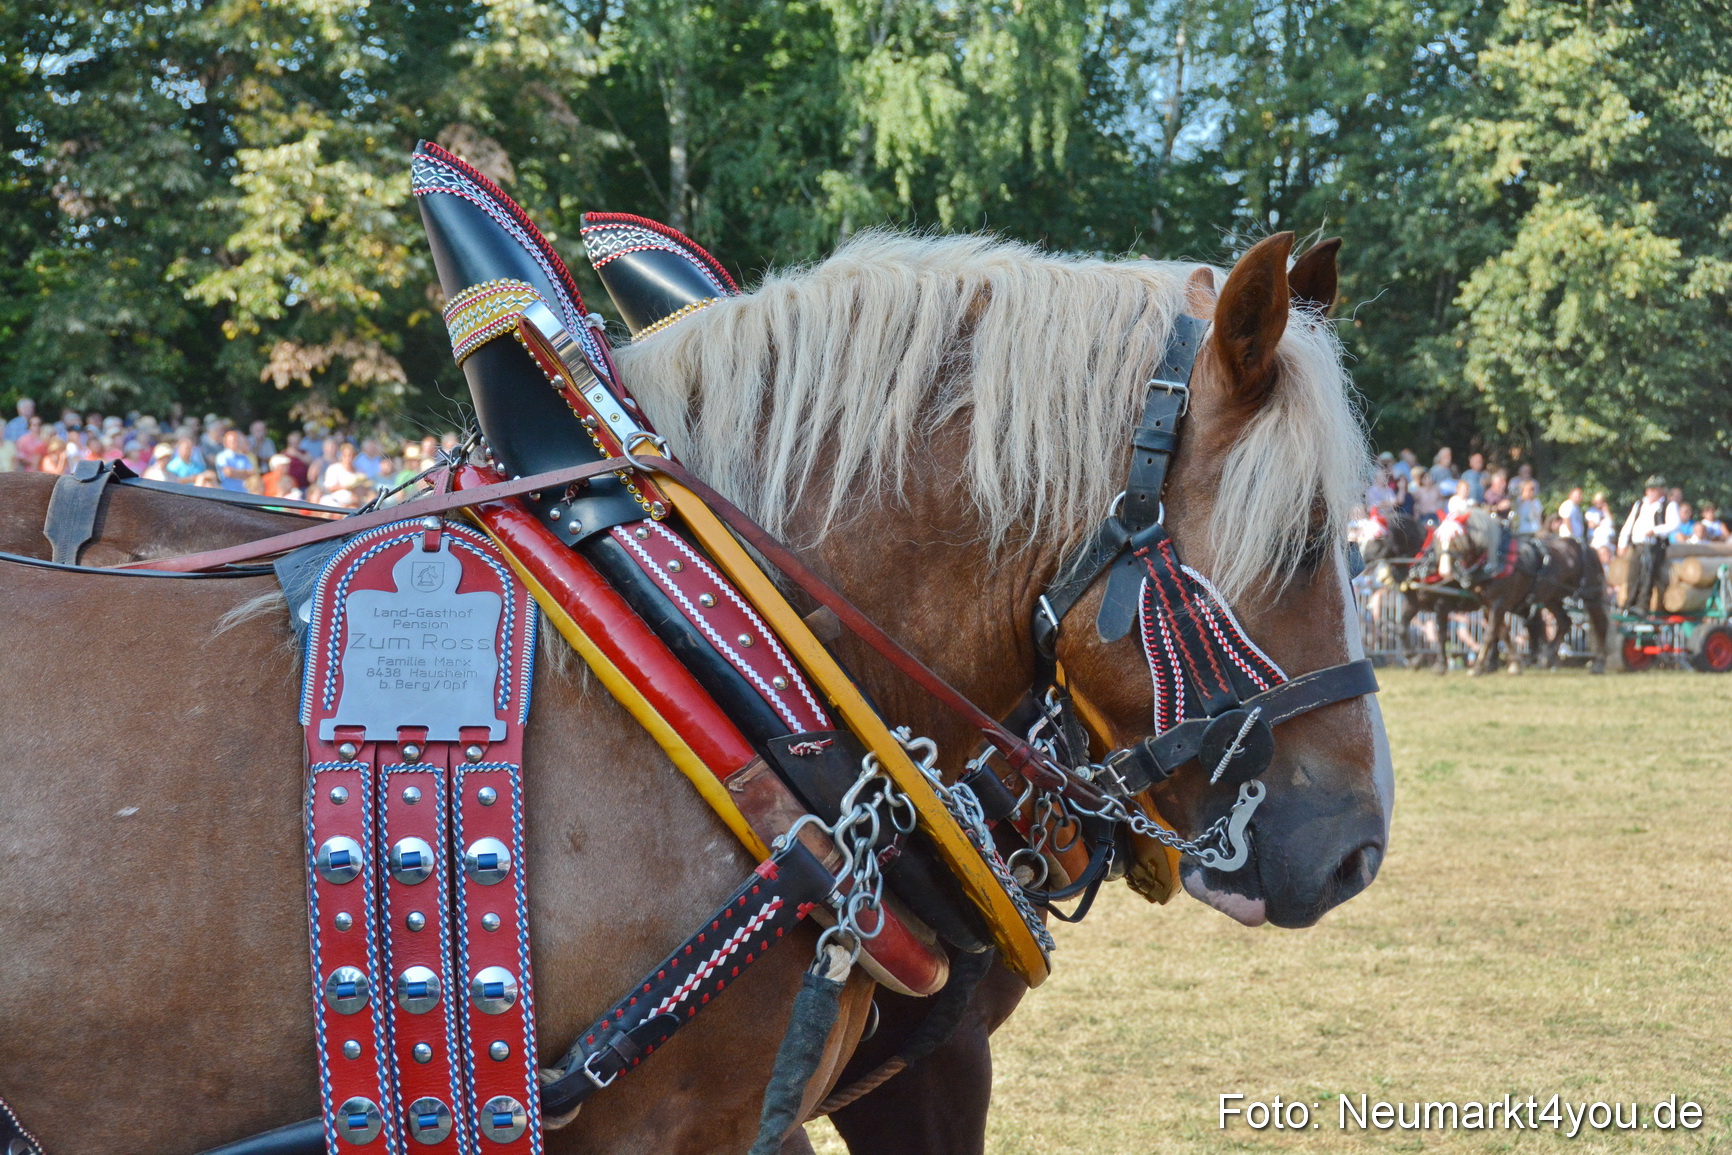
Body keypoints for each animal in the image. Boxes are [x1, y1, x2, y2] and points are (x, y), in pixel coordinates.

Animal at [1357, 507, 1482, 672]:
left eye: (1378, 537)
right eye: (1362, 536)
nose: (1363, 559)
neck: (1422, 560)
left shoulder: (1442, 603)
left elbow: (1440, 633)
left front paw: (1440, 664)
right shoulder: (1414, 603)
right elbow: (1402, 628)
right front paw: (1412, 658)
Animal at [1433, 507, 1609, 676]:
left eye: (1456, 539)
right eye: (1440, 538)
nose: (1444, 571)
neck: (1496, 559)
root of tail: (1590, 548)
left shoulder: (1498, 603)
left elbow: (1490, 634)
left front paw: (1477, 668)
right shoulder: (1487, 605)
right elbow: (1502, 632)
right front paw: (1515, 665)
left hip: (1591, 596)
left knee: (1601, 624)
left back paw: (1598, 664)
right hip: (1552, 597)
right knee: (1564, 622)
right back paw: (1547, 656)